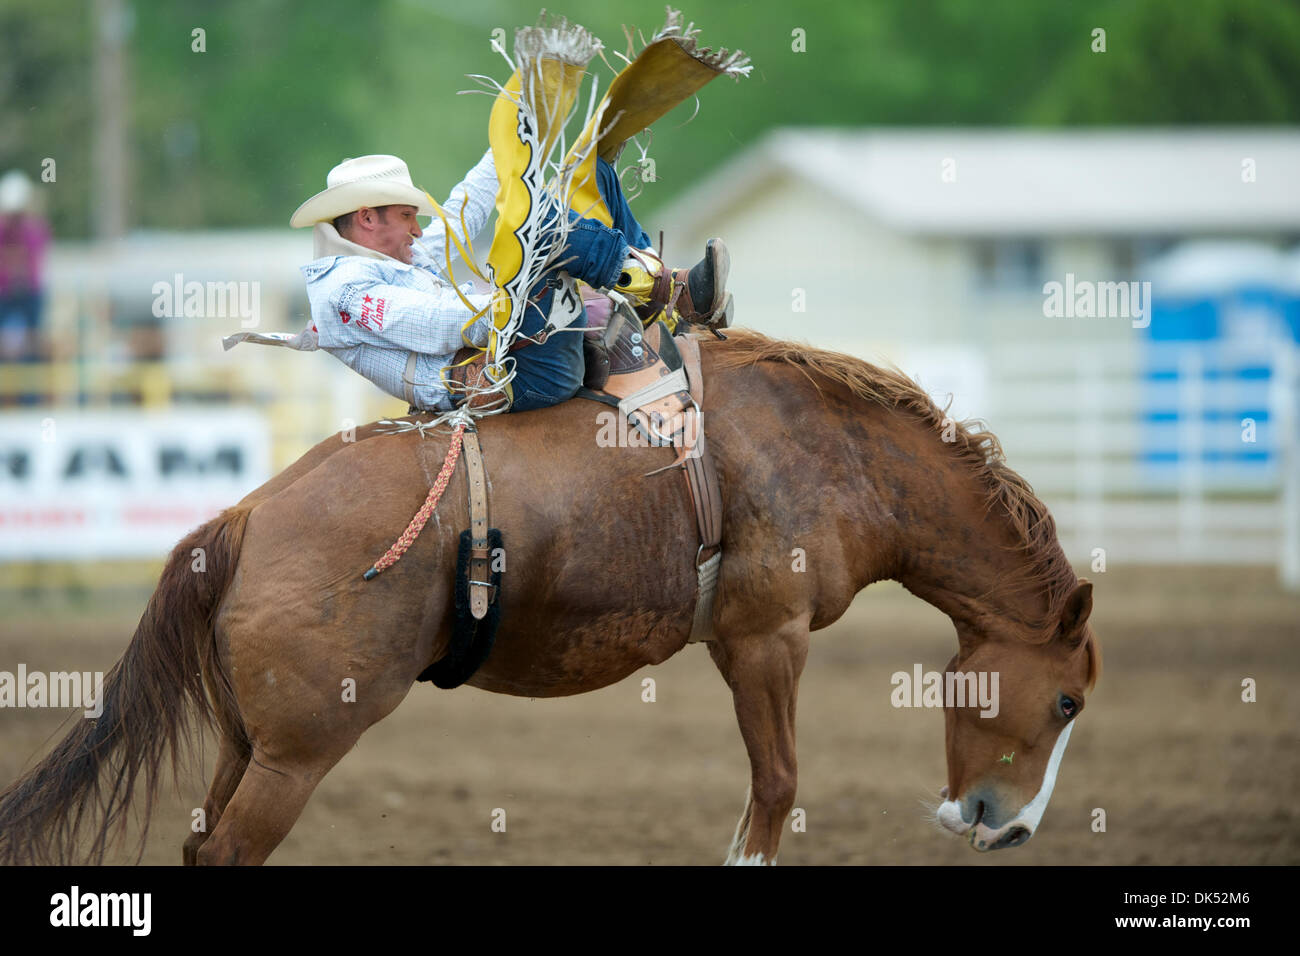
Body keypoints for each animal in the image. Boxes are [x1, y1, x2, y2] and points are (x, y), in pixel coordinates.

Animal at [0, 329, 1097, 868]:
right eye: (1067, 699)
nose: (1008, 828)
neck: (825, 450)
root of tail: (244, 516)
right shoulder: (765, 638)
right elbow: (777, 790)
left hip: (248, 740)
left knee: (200, 843)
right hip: (301, 749)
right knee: (227, 850)